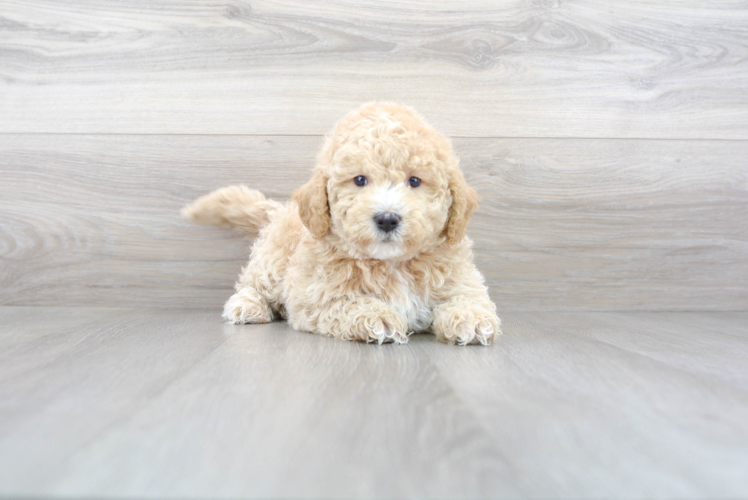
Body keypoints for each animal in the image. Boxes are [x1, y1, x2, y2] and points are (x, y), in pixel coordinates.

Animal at [183, 101, 502, 344]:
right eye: (359, 180)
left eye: (415, 181)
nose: (387, 219)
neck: (393, 264)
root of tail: (282, 210)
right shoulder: (315, 295)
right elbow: (346, 302)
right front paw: (378, 317)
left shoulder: (460, 278)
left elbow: (469, 297)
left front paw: (472, 320)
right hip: (273, 262)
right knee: (252, 284)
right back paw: (247, 306)